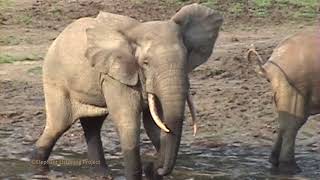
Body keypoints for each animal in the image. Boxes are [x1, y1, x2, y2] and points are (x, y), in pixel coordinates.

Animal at [31, 3, 224, 179]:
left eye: (186, 57)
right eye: (145, 63)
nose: (152, 167)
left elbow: (154, 123)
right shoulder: (114, 76)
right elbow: (128, 122)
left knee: (92, 126)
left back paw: (103, 175)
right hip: (55, 80)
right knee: (57, 126)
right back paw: (39, 169)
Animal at [248, 29, 320, 174]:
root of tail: (269, 65)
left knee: (284, 122)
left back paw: (275, 163)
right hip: (293, 84)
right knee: (293, 124)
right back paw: (291, 168)